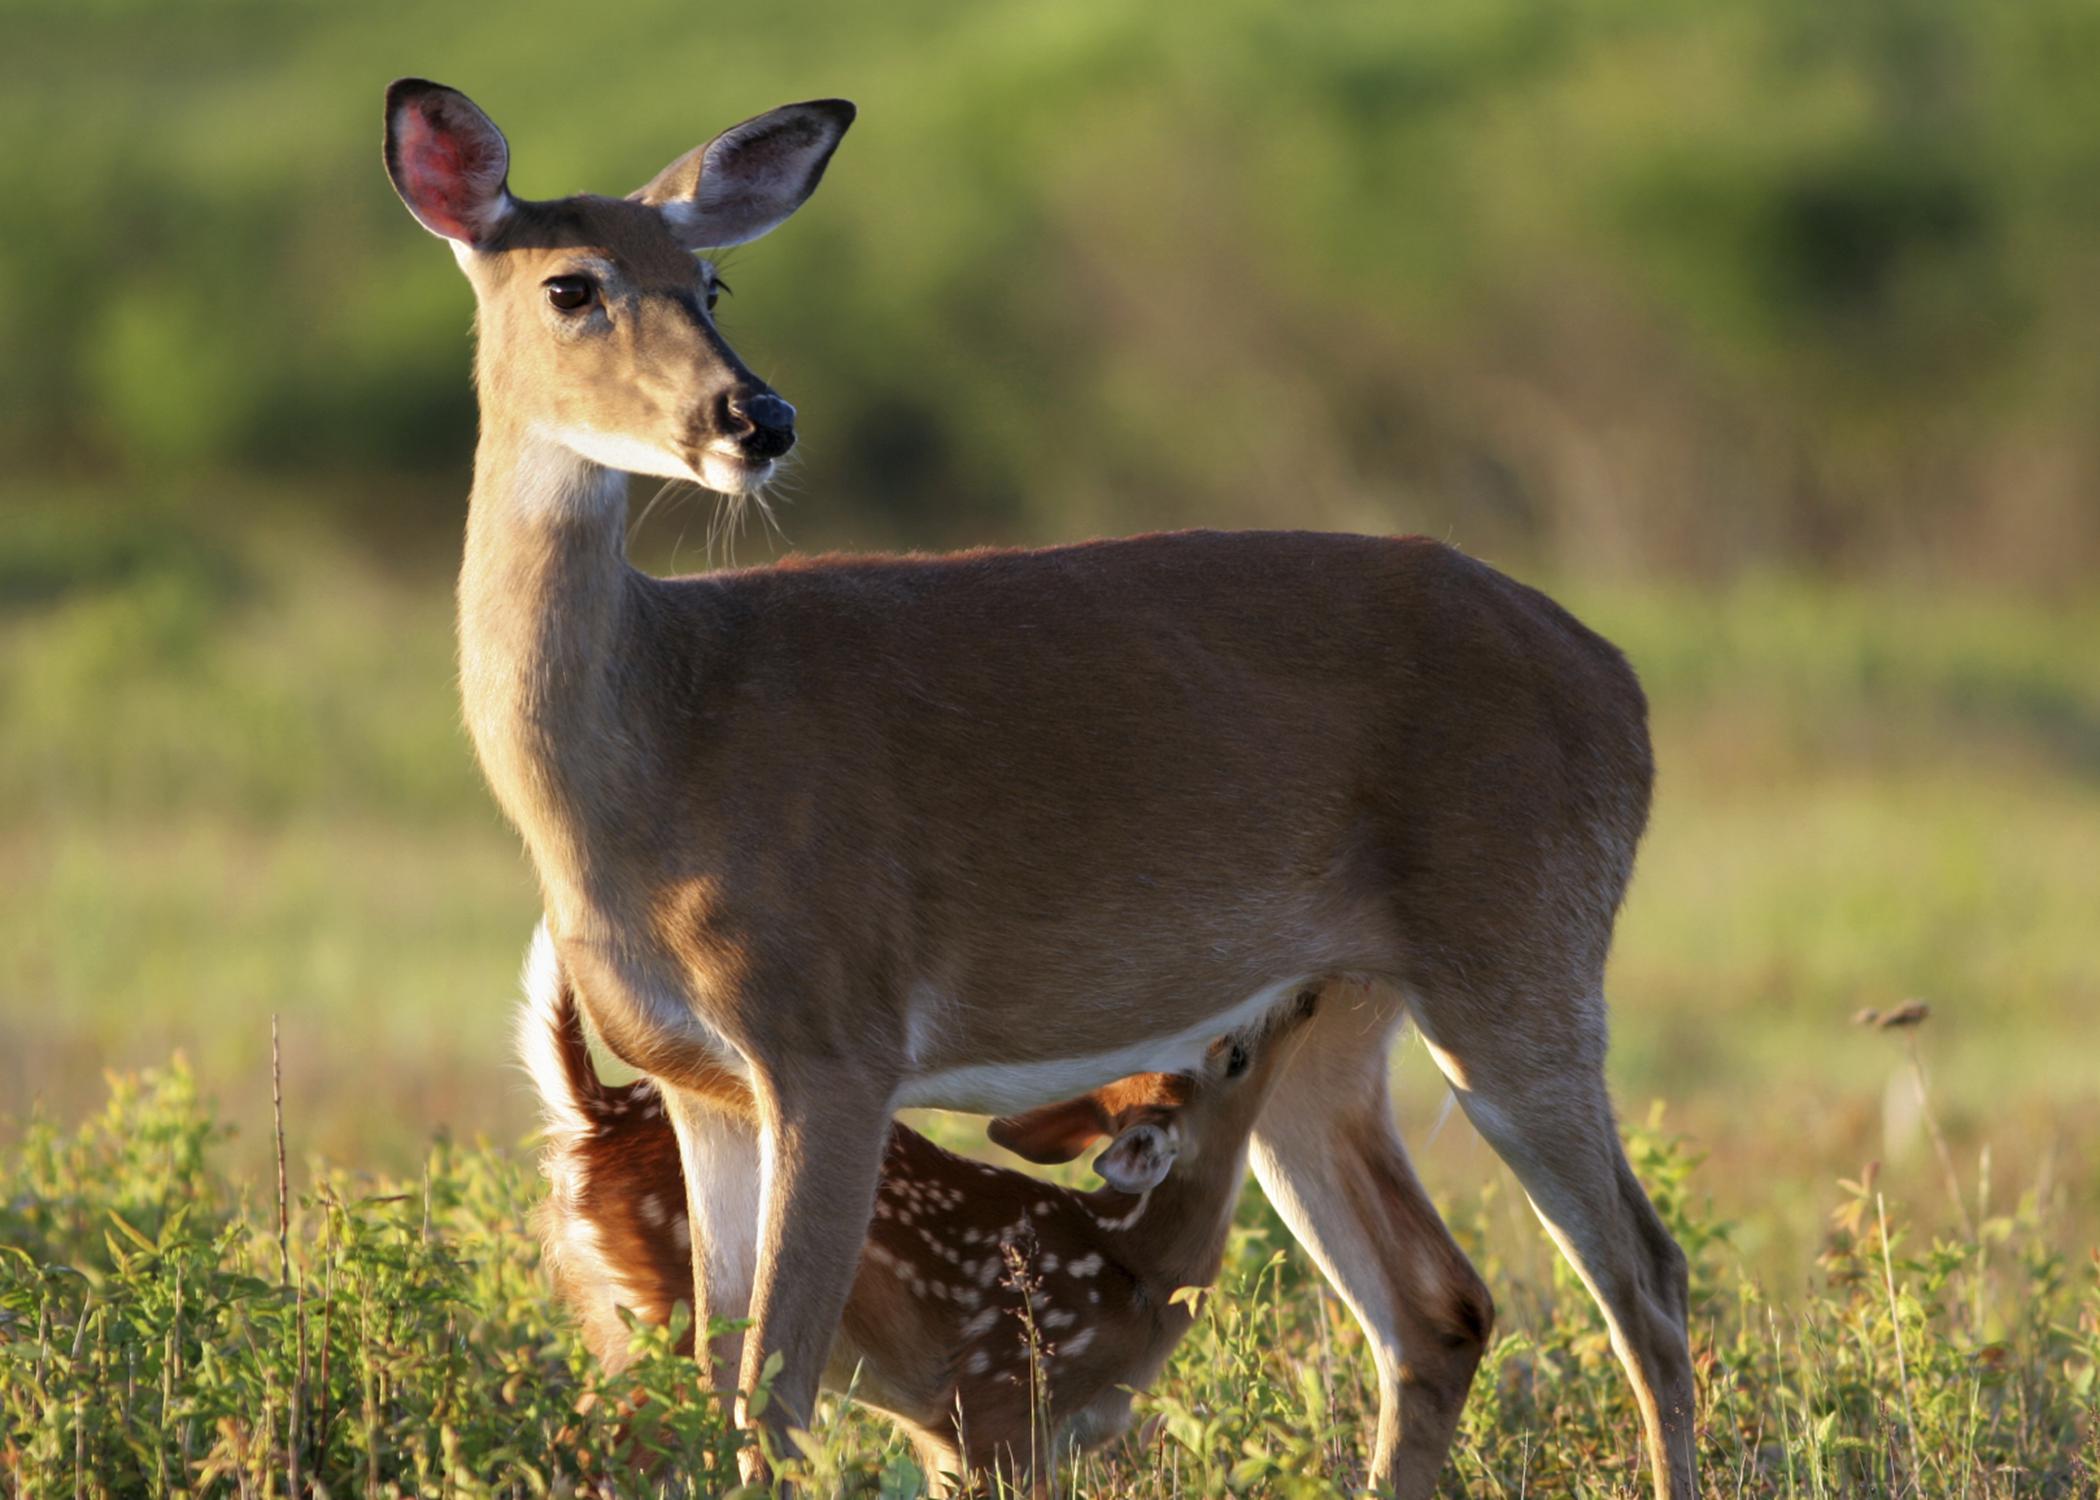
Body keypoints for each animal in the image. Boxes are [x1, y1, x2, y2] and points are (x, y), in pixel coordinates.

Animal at [518, 924, 1318, 1487]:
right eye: (1233, 1052)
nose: (1304, 992)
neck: (1133, 1270)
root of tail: (592, 1117)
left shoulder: (947, 1434)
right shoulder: (1002, 1407)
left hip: (620, 1314)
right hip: (665, 1308)